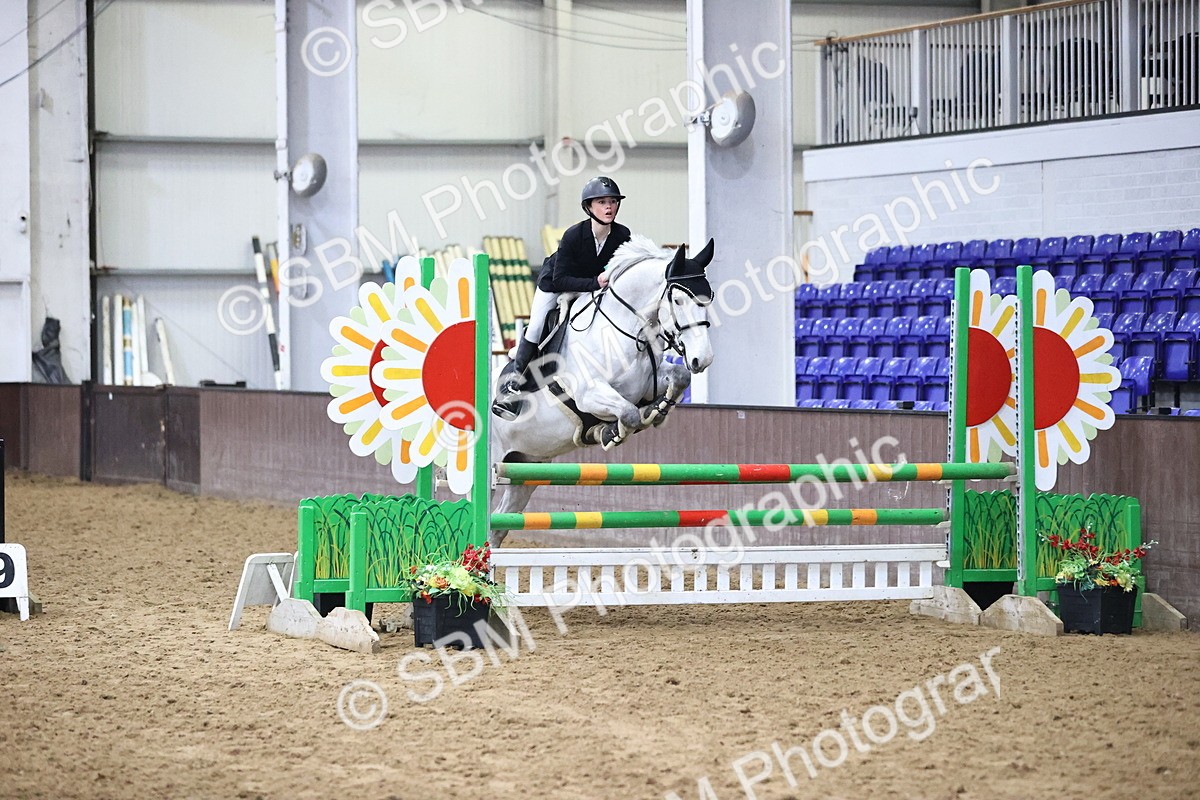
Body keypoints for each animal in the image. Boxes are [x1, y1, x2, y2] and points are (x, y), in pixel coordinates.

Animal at [489, 236, 716, 547]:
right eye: (678, 300)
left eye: (709, 298)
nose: (702, 359)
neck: (624, 331)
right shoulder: (589, 393)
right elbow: (628, 414)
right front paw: (609, 433)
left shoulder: (647, 383)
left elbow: (677, 378)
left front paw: (655, 411)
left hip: (525, 466)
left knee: (497, 523)